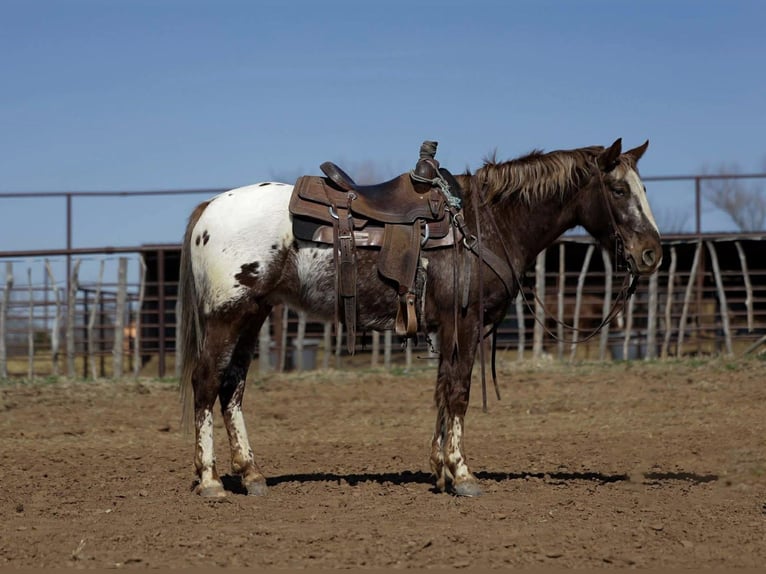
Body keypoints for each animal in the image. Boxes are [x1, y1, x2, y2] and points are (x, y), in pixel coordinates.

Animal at [177, 138, 662, 498]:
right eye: (619, 191)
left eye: (642, 189)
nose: (652, 254)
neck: (486, 224)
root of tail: (209, 209)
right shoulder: (465, 324)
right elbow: (460, 392)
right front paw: (463, 475)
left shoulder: (448, 328)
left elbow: (443, 391)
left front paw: (440, 470)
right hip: (227, 315)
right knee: (207, 382)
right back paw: (211, 481)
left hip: (253, 315)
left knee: (232, 388)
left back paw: (252, 475)